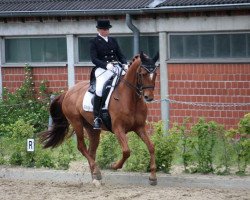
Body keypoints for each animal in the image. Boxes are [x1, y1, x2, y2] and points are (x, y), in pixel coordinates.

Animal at [40, 52, 159, 186]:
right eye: (142, 74)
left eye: (155, 74)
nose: (149, 97)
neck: (130, 98)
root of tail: (68, 92)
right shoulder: (118, 128)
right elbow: (126, 151)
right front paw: (114, 166)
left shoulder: (139, 127)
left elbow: (151, 146)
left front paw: (153, 177)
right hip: (76, 122)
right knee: (81, 146)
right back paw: (96, 171)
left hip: (92, 128)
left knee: (91, 150)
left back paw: (95, 176)